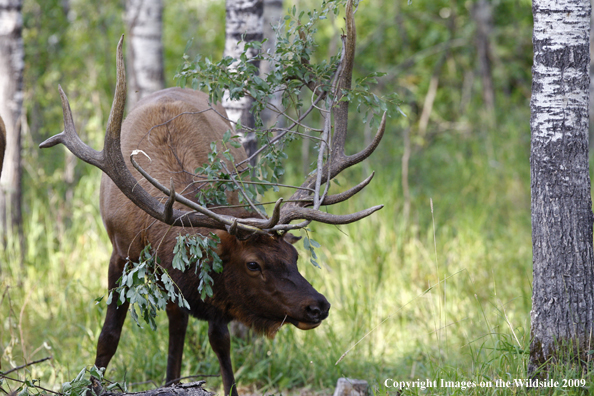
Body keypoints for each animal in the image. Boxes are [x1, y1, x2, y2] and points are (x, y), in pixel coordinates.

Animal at [41, 1, 384, 394]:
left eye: (294, 256)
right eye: (253, 264)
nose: (318, 306)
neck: (154, 231)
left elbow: (220, 342)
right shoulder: (120, 252)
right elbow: (108, 337)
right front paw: (93, 381)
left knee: (180, 324)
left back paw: (174, 380)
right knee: (176, 321)